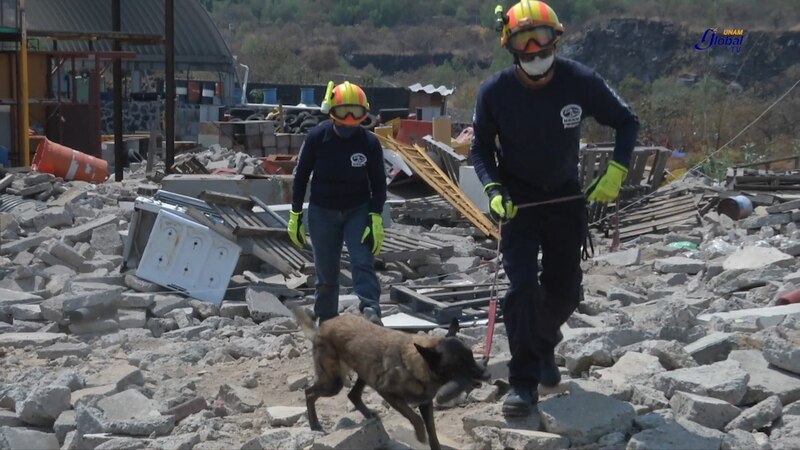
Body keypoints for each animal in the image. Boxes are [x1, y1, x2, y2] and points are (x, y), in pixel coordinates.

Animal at [294, 308, 488, 450]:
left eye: (471, 355)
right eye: (460, 364)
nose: (486, 374)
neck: (417, 364)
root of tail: (322, 327)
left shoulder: (425, 403)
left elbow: (432, 432)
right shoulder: (388, 393)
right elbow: (415, 419)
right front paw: (420, 435)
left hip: (365, 372)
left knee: (353, 394)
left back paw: (367, 414)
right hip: (333, 383)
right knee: (309, 392)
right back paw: (315, 424)